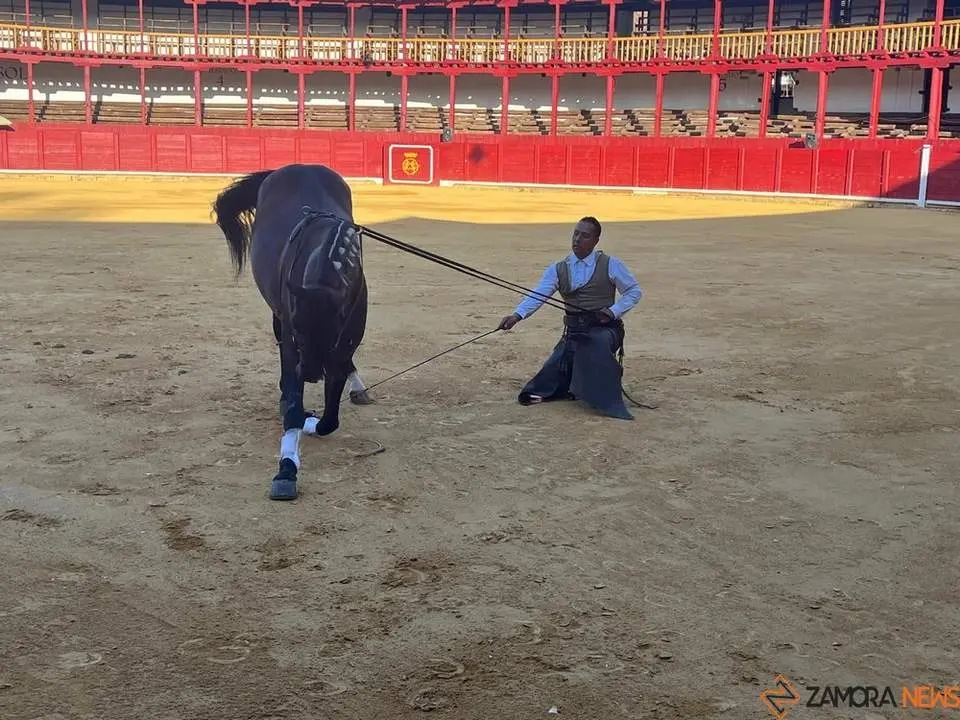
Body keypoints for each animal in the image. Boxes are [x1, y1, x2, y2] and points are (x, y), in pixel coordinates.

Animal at [212, 164, 372, 501]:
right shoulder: (292, 339)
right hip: (275, 314)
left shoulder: (342, 348)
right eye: (299, 326)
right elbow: (295, 401)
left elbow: (330, 418)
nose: (311, 372)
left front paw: (313, 421)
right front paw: (286, 470)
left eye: (335, 328)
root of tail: (295, 166)